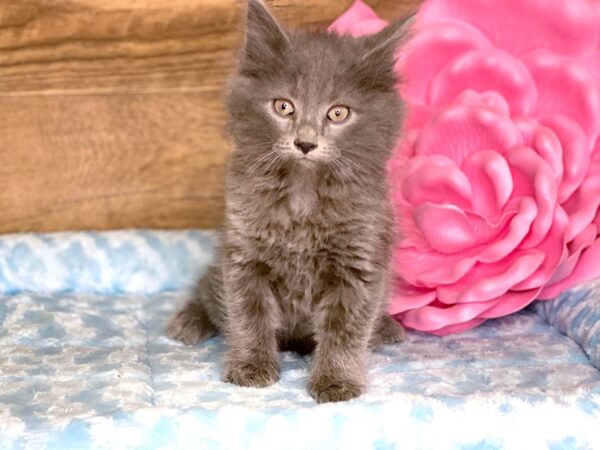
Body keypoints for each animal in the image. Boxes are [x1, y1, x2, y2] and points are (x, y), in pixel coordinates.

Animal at [169, 0, 408, 404]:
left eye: (338, 112)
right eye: (284, 107)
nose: (306, 142)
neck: (303, 192)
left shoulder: (360, 260)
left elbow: (347, 329)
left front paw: (337, 380)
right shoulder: (244, 253)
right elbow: (248, 315)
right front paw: (251, 367)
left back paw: (387, 329)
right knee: (208, 288)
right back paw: (188, 320)